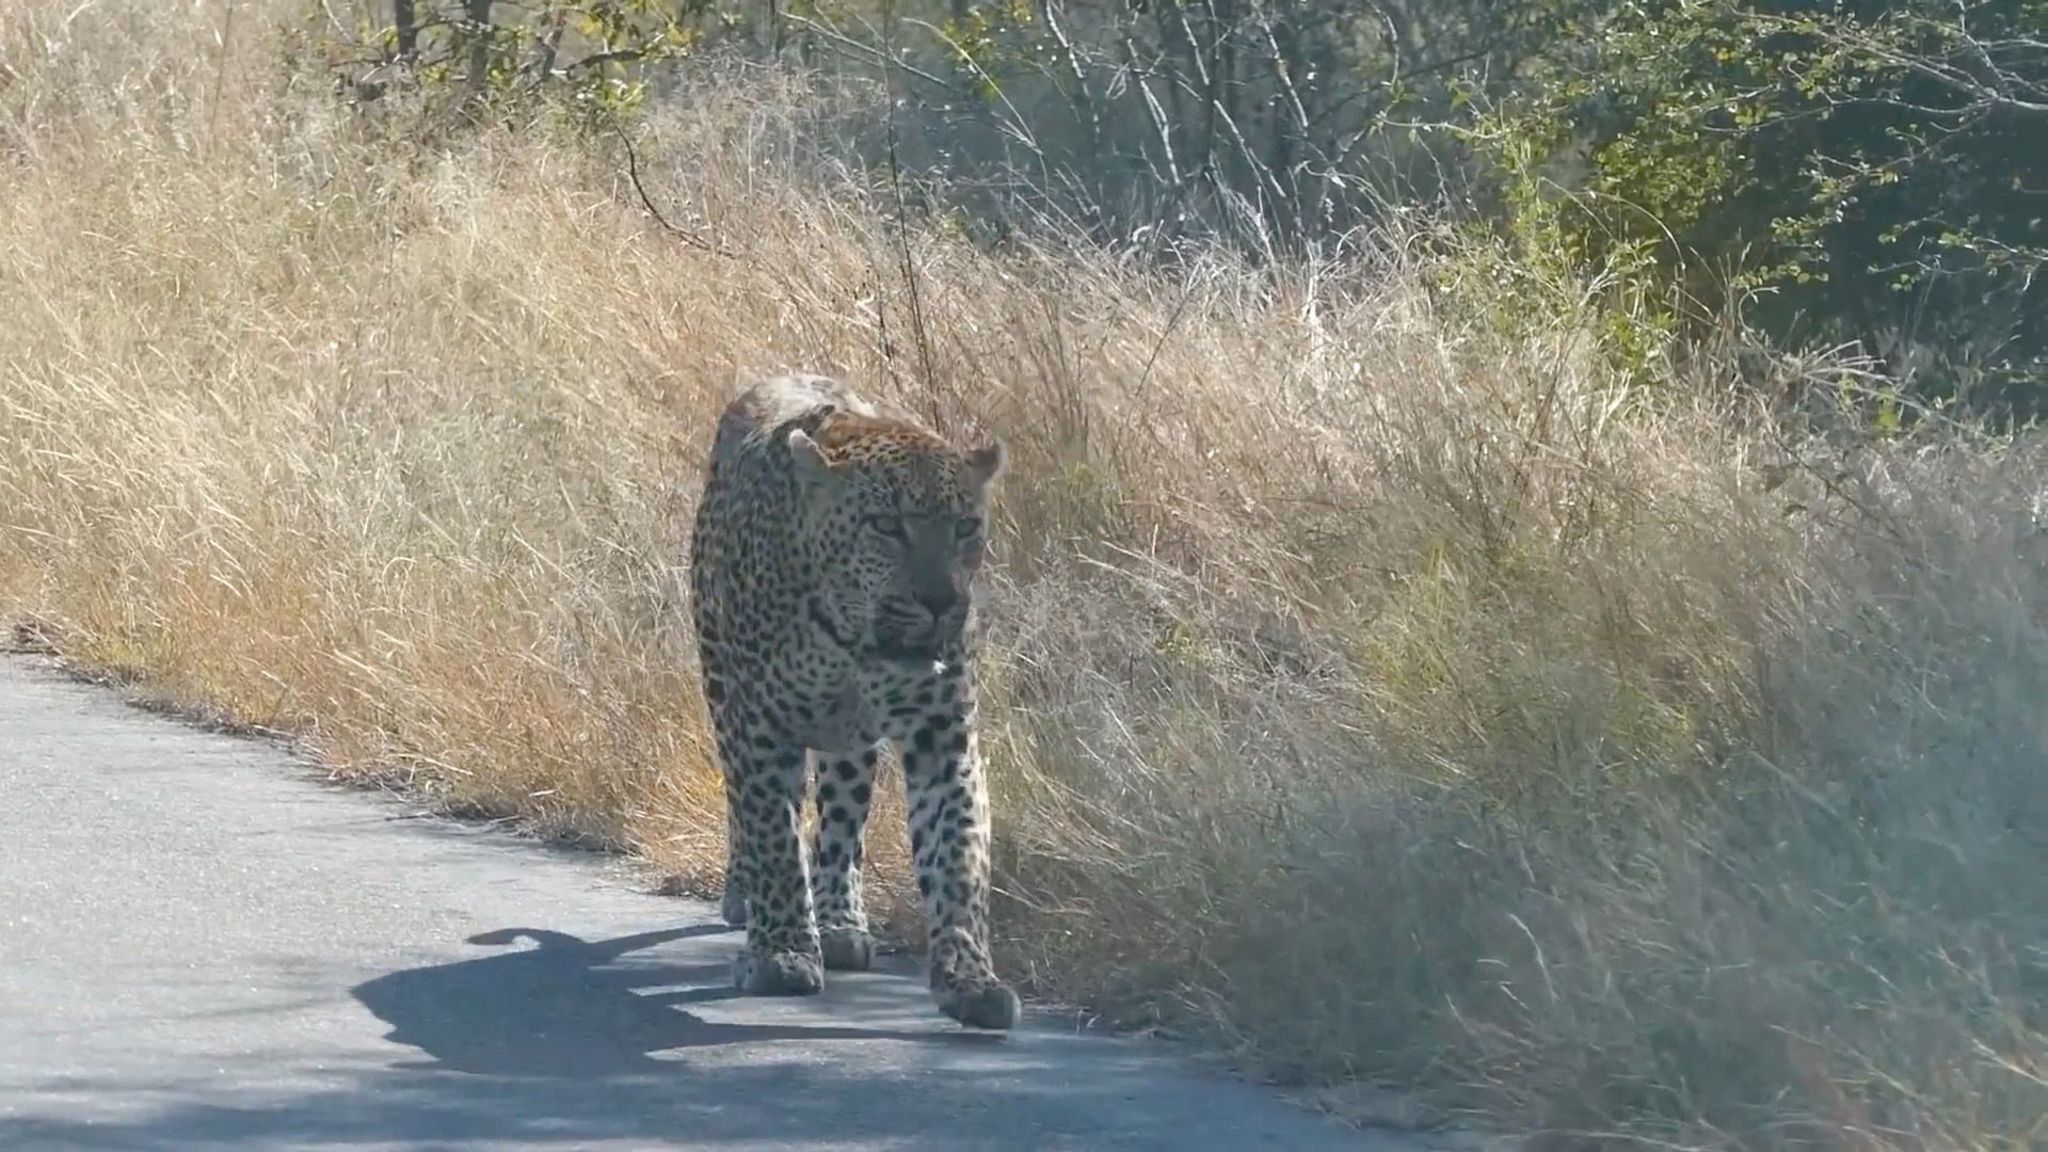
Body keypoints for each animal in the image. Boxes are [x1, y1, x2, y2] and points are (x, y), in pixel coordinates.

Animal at [684, 373, 1019, 1024]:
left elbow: (957, 854)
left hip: (849, 744)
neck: (851, 641)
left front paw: (969, 978)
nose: (941, 602)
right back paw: (747, 896)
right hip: (720, 682)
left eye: (966, 527)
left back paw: (840, 923)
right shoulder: (758, 724)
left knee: (840, 821)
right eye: (886, 526)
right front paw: (782, 953)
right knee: (747, 807)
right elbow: (773, 836)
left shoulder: (943, 734)